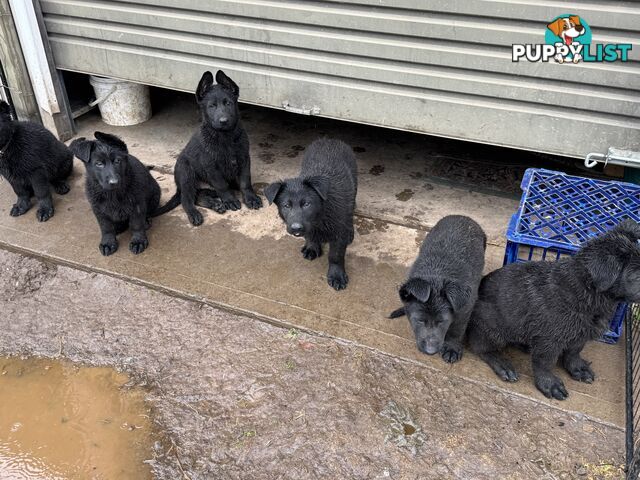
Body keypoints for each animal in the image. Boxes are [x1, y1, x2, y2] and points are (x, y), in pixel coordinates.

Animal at [154, 70, 262, 225]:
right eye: (212, 106)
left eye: (228, 103)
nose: (223, 121)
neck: (225, 136)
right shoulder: (211, 166)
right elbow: (222, 185)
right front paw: (230, 200)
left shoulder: (244, 159)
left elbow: (245, 181)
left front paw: (250, 198)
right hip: (186, 173)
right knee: (187, 199)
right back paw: (195, 213)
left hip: (205, 188)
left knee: (198, 197)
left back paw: (215, 204)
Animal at [262, 137, 358, 290]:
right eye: (286, 206)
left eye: (307, 204)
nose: (296, 227)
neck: (320, 217)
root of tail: (329, 139)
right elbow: (309, 235)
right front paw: (312, 247)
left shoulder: (338, 230)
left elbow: (335, 255)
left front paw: (336, 276)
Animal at [388, 216, 488, 362]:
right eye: (420, 320)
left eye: (442, 322)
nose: (430, 351)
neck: (437, 273)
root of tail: (462, 216)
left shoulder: (465, 308)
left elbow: (456, 330)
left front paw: (451, 348)